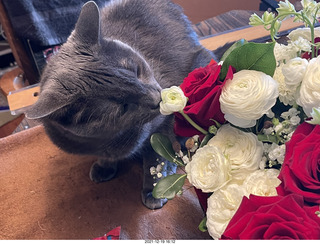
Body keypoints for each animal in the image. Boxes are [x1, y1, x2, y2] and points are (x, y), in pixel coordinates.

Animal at [25, 0, 215, 210]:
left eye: (137, 70)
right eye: (122, 106)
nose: (156, 98)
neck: (109, 140)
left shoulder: (164, 123)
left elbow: (156, 159)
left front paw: (154, 190)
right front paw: (103, 166)